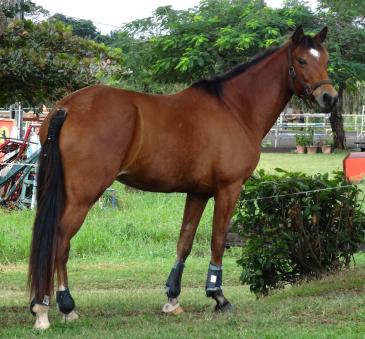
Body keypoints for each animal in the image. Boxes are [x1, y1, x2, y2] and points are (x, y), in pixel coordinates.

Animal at [27, 26, 336, 330]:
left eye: (325, 59)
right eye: (301, 61)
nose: (329, 97)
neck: (234, 108)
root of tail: (66, 107)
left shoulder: (198, 193)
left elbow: (184, 242)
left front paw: (172, 298)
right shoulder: (229, 189)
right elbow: (217, 239)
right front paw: (218, 296)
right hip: (84, 194)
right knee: (59, 240)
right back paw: (55, 307)